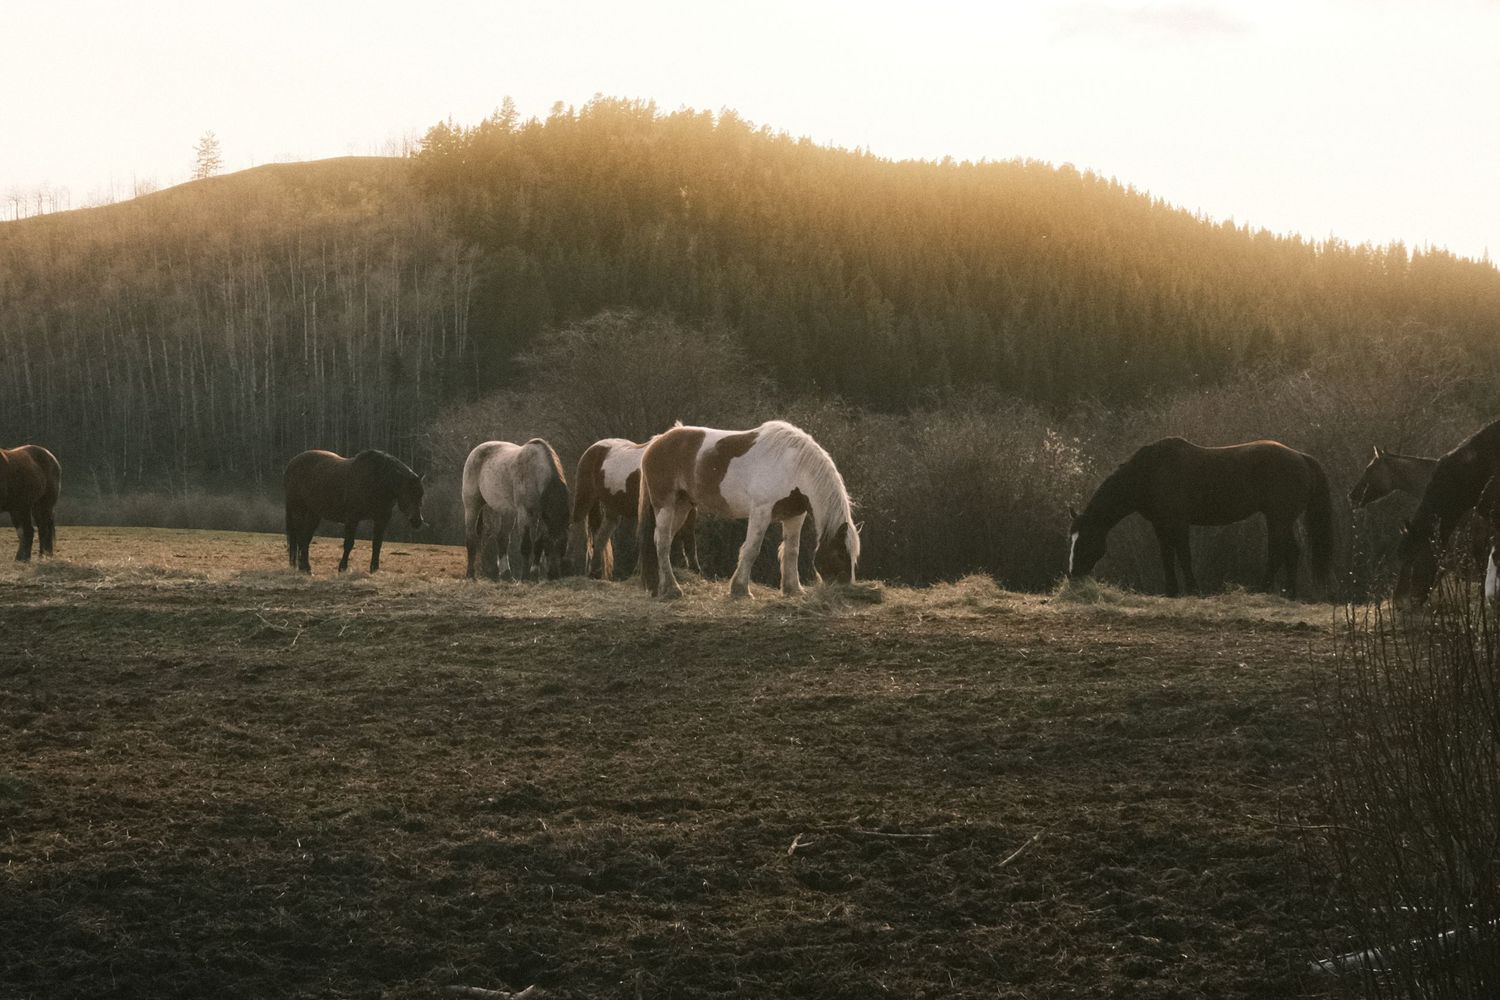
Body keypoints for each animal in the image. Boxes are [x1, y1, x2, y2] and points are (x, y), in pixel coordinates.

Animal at [284, 449, 426, 573]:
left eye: (421, 495)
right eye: (408, 493)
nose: (417, 521)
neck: (376, 480)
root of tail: (291, 463)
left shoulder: (381, 519)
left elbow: (377, 544)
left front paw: (374, 569)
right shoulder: (352, 519)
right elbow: (349, 543)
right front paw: (342, 568)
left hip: (314, 514)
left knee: (305, 538)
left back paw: (304, 567)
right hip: (298, 510)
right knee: (300, 538)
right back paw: (305, 568)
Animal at [462, 438, 571, 581]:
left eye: (563, 547)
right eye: (548, 548)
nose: (553, 575)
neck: (536, 472)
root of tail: (476, 450)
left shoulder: (541, 517)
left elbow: (538, 543)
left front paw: (534, 575)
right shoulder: (524, 513)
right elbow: (526, 544)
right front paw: (525, 577)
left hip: (506, 512)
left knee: (502, 538)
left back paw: (506, 575)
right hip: (472, 506)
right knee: (471, 538)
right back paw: (470, 574)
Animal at [566, 437, 700, 580]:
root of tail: (593, 448)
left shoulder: (688, 509)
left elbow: (689, 538)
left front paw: (695, 570)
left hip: (612, 511)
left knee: (601, 538)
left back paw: (594, 573)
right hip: (584, 499)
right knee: (576, 529)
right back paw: (569, 567)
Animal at [637, 420, 859, 599]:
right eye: (840, 554)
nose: (845, 587)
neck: (795, 467)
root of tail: (656, 443)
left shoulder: (795, 516)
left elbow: (791, 551)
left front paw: (793, 589)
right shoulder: (761, 512)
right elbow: (751, 549)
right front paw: (740, 589)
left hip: (682, 506)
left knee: (661, 540)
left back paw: (662, 587)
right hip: (665, 505)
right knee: (663, 542)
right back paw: (673, 589)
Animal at [1067, 437, 1333, 598]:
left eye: (1085, 540)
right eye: (1071, 539)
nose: (1072, 575)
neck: (1149, 473)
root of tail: (1301, 457)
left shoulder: (1179, 523)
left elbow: (1184, 556)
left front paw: (1193, 590)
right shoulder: (1161, 525)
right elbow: (1167, 556)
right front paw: (1171, 591)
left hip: (1278, 519)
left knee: (1280, 552)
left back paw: (1266, 589)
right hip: (1282, 520)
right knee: (1291, 552)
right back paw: (1289, 594)